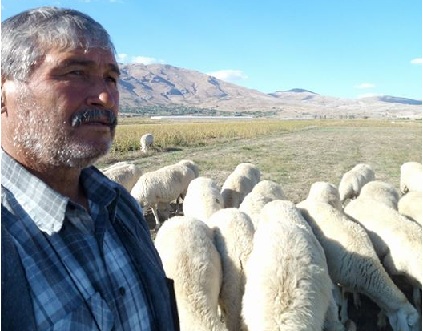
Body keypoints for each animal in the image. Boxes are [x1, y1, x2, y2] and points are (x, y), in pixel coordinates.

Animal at [298, 198, 420, 330]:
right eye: (410, 326)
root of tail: (305, 201)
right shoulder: (344, 278)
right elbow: (345, 296)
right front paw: (344, 316)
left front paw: (357, 300)